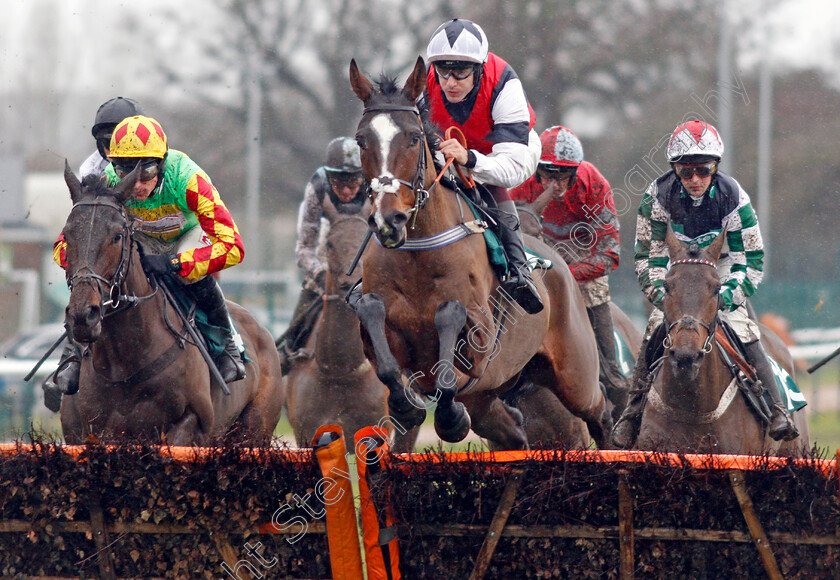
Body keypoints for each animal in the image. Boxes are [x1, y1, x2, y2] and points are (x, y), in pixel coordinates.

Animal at [58, 163, 286, 444]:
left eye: (117, 236)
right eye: (68, 235)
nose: (83, 316)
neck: (126, 361)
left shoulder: (192, 423)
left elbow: (230, 244)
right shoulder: (96, 432)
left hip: (255, 429)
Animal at [348, 57, 612, 448]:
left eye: (413, 137)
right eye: (361, 140)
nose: (388, 220)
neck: (418, 254)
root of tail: (560, 264)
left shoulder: (482, 341)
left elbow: (451, 320)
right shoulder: (388, 341)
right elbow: (376, 327)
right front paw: (408, 407)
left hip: (575, 376)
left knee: (602, 414)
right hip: (488, 397)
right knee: (514, 435)